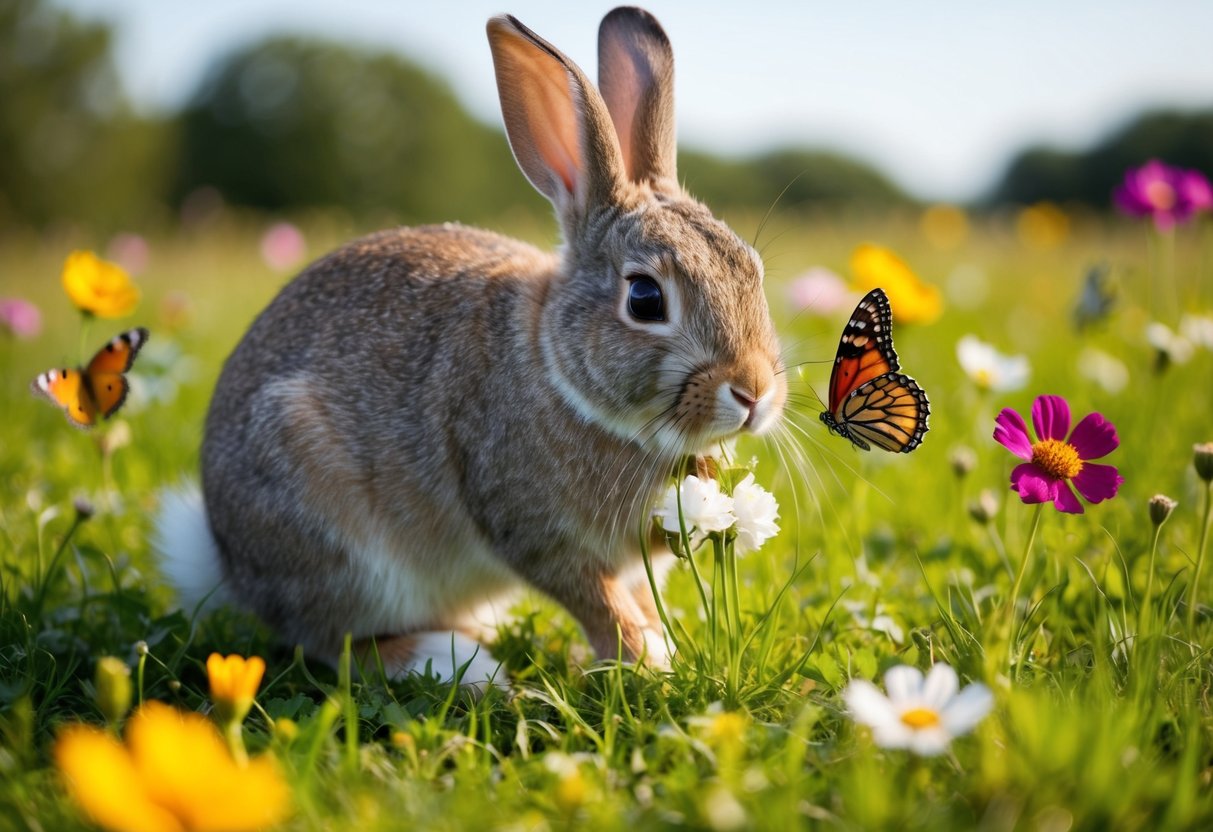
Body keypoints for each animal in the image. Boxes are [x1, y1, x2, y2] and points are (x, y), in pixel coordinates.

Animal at [156, 6, 786, 687]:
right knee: (335, 643)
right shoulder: (532, 529)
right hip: (326, 529)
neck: (560, 371)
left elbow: (637, 598)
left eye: (751, 270)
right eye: (645, 299)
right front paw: (646, 664)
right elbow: (600, 602)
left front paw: (655, 652)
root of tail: (229, 564)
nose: (754, 392)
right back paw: (459, 664)